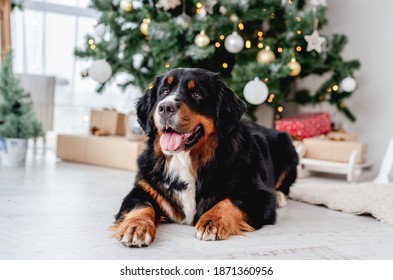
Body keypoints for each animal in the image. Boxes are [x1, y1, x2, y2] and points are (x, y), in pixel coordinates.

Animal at [112, 68, 298, 247]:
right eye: (164, 91)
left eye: (196, 94)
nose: (165, 108)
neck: (185, 159)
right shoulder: (144, 188)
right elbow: (140, 206)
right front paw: (136, 226)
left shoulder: (259, 195)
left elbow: (229, 201)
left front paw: (212, 221)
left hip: (288, 148)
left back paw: (280, 197)